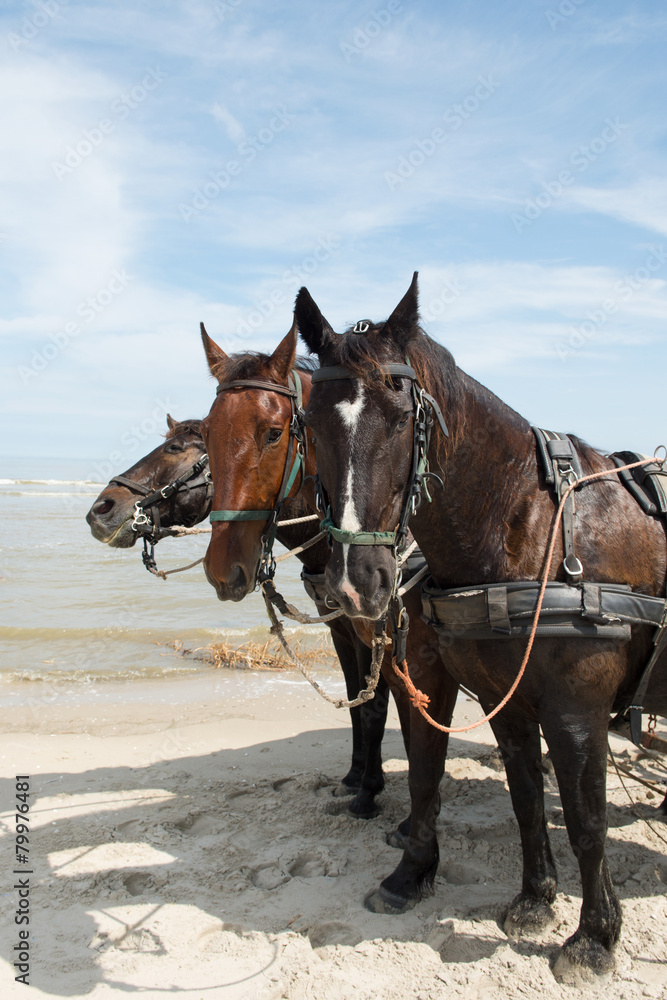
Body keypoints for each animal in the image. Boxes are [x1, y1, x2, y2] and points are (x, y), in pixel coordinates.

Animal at [198, 324, 456, 824]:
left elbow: (399, 716)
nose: (223, 570)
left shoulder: (408, 648)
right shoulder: (347, 630)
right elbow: (363, 705)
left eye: (274, 433)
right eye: (205, 432)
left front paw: (386, 799)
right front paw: (361, 781)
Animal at [298, 274, 667, 984]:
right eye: (312, 421)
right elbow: (523, 796)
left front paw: (595, 937)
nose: (358, 581)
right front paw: (534, 899)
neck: (527, 526)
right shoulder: (506, 701)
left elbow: (586, 819)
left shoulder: (575, 711)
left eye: (403, 413)